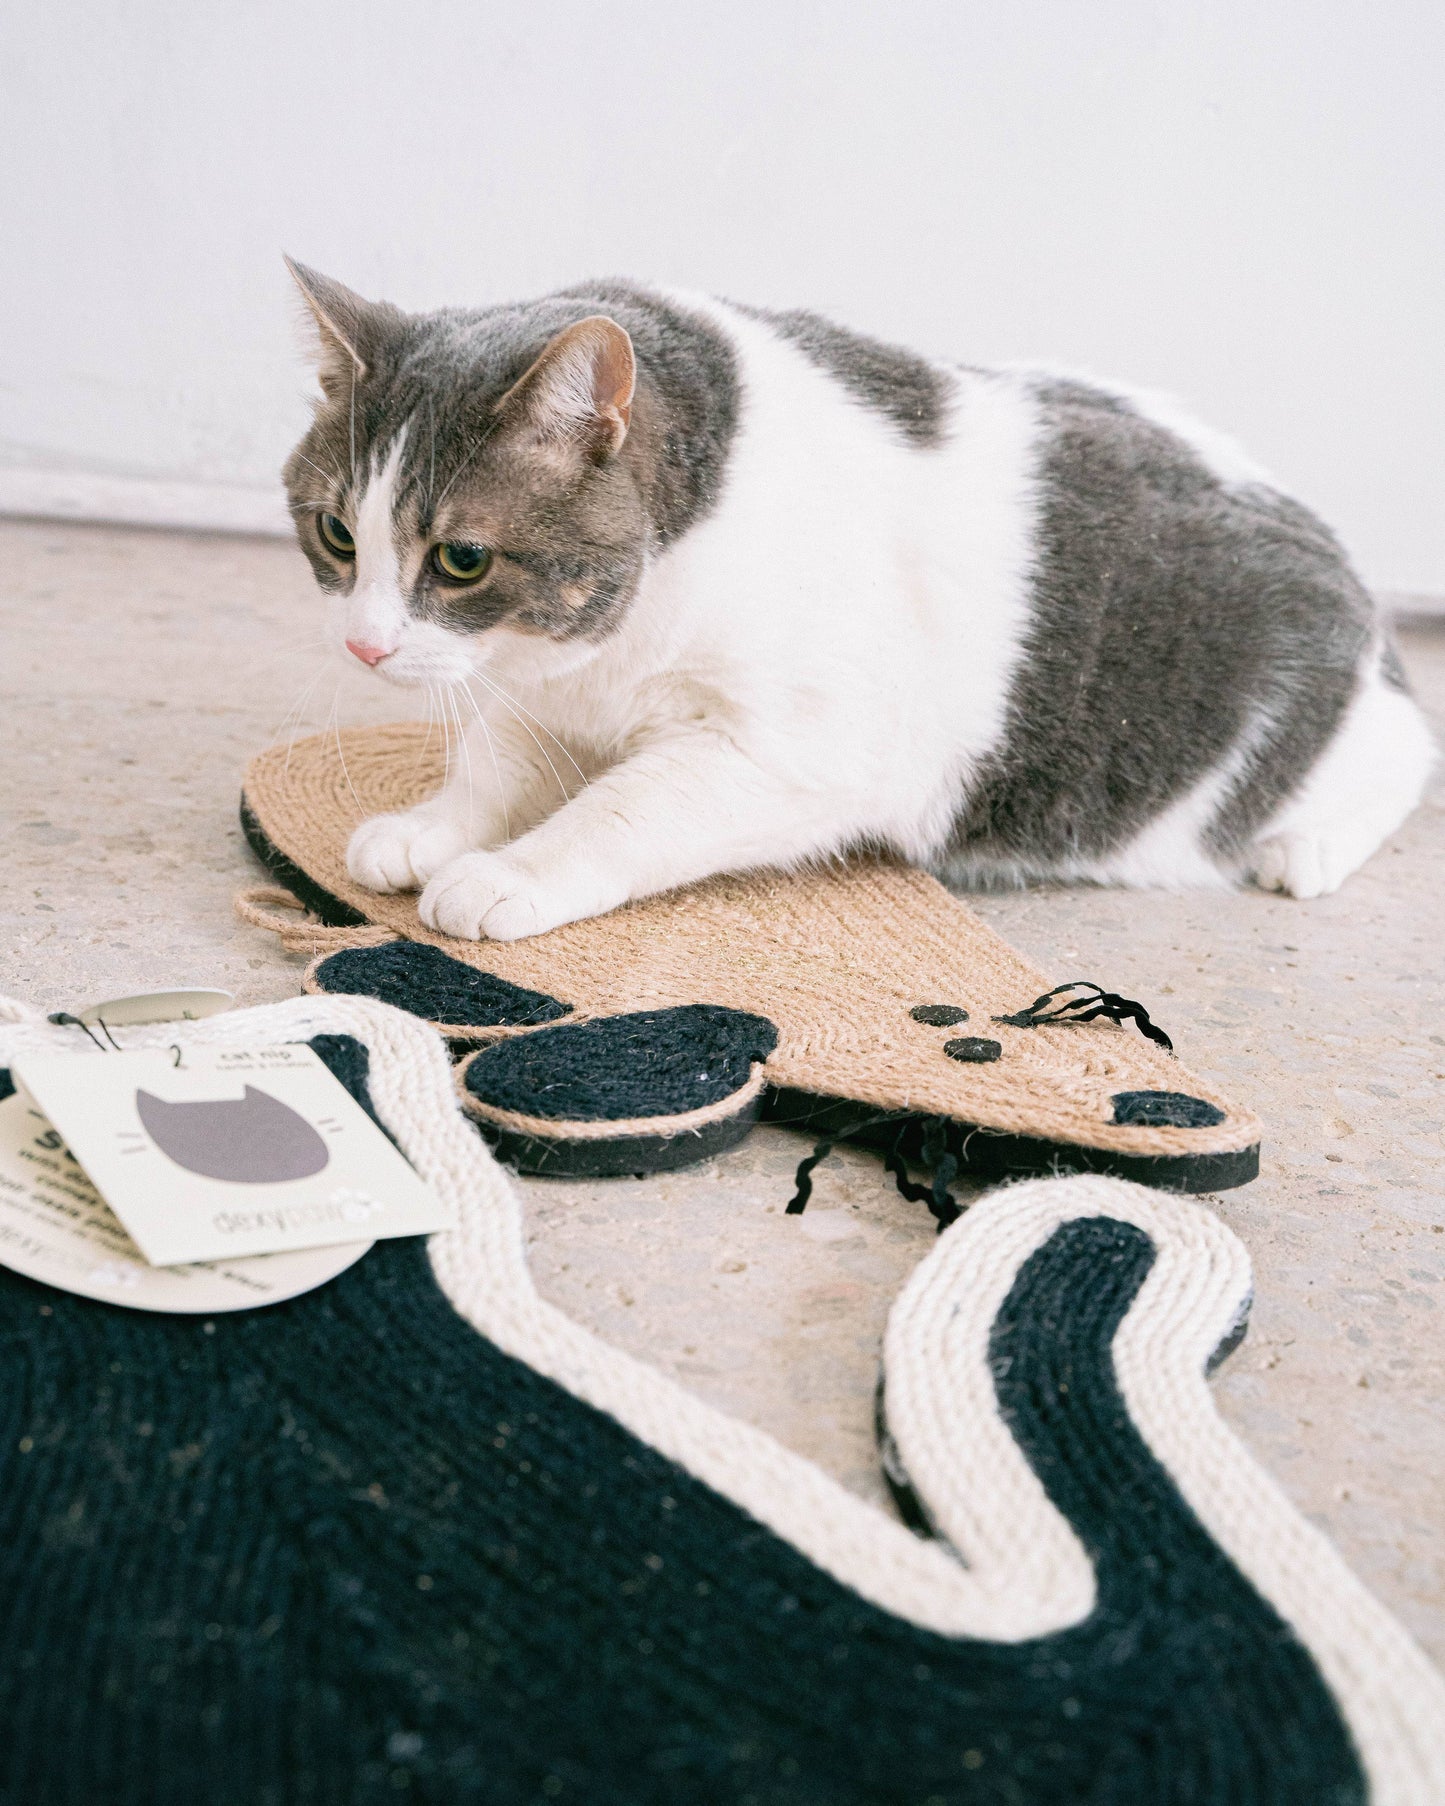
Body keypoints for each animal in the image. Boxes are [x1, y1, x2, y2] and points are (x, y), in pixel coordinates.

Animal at [279, 267, 1430, 946]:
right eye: (338, 536)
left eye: (461, 558)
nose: (364, 647)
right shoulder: (542, 691)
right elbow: (496, 759)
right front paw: (432, 830)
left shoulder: (792, 752)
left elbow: (622, 809)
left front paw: (507, 874)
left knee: (1409, 753)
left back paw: (1303, 848)